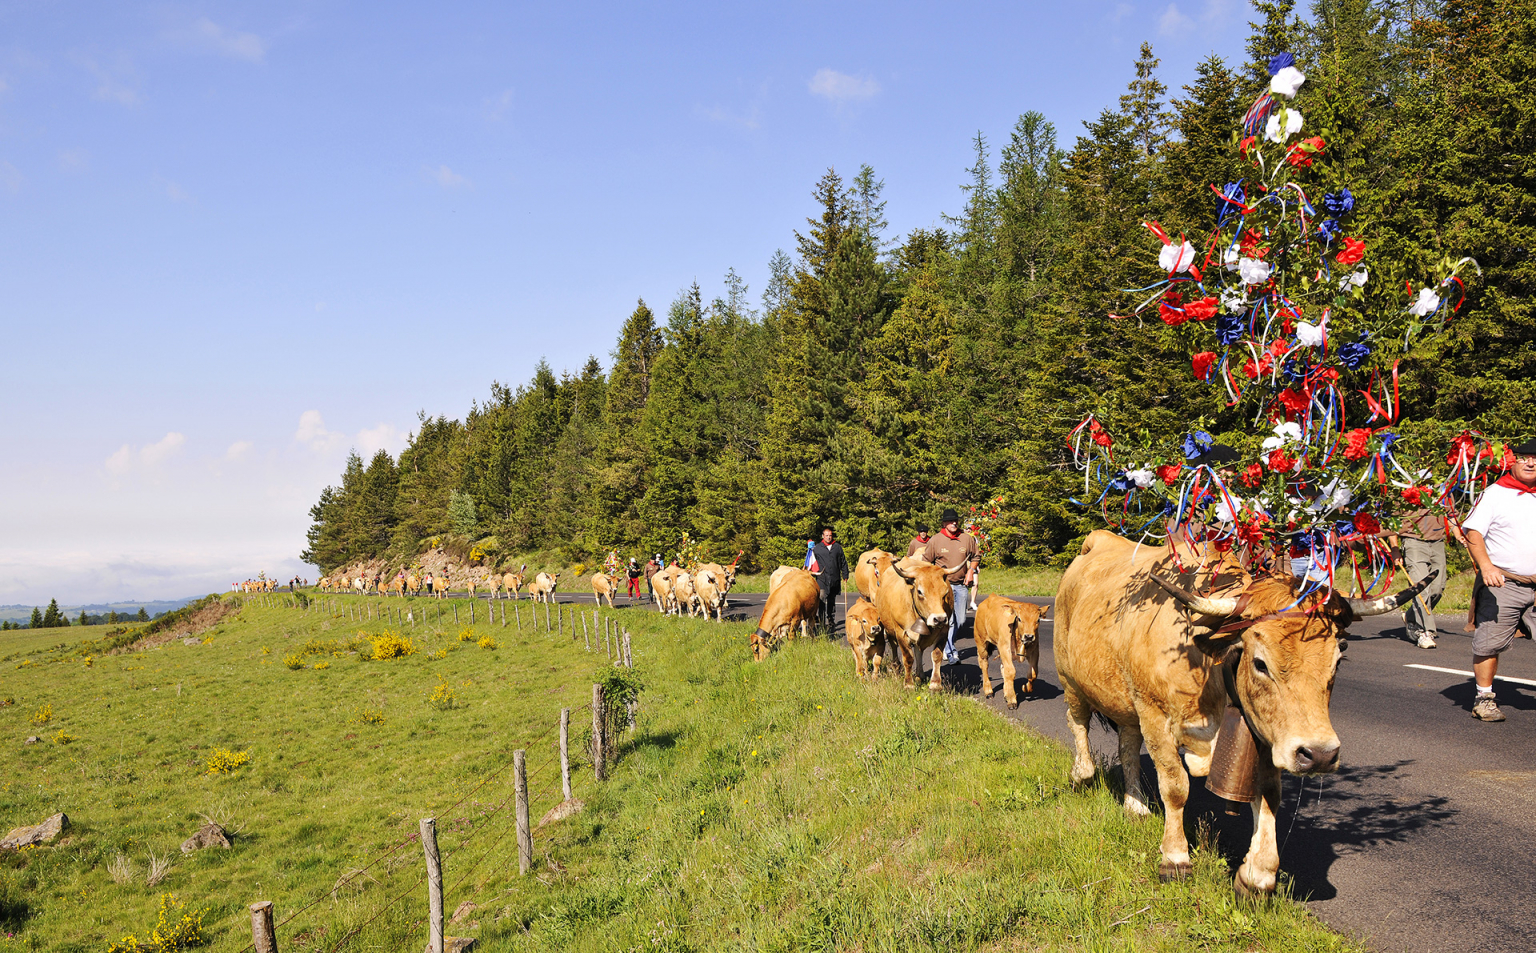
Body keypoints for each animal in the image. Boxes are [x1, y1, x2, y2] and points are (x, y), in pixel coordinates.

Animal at [1056, 528, 1437, 891]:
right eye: (1260, 663)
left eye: (1338, 661)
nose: (1320, 754)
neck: (1209, 661)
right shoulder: (1155, 716)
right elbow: (1175, 787)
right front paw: (1175, 858)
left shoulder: (1269, 733)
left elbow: (1268, 793)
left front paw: (1259, 872)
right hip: (1071, 678)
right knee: (1079, 723)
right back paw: (1082, 775)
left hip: (1126, 699)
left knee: (1128, 746)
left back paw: (1134, 805)